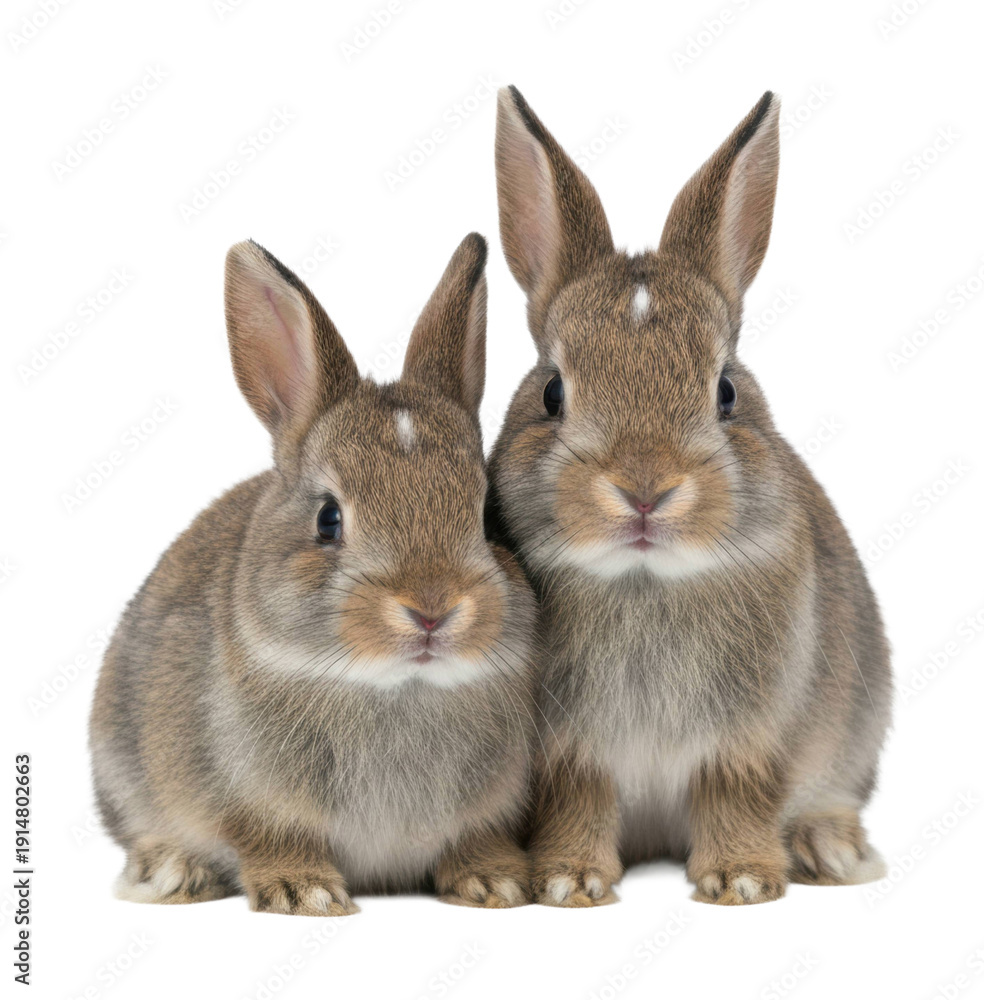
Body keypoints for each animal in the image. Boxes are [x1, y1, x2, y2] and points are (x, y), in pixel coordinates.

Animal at [89, 233, 538, 914]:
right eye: (329, 519)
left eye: (488, 515)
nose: (431, 607)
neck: (395, 688)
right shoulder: (253, 803)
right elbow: (272, 839)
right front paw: (307, 894)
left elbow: (475, 841)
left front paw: (495, 883)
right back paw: (171, 873)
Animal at [487, 86, 893, 907]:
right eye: (552, 393)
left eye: (727, 391)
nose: (645, 489)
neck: (645, 581)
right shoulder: (569, 756)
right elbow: (579, 803)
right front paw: (571, 882)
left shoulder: (750, 739)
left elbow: (736, 796)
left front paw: (741, 881)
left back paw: (830, 850)